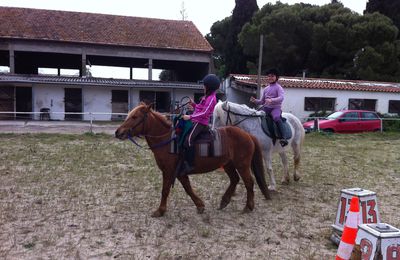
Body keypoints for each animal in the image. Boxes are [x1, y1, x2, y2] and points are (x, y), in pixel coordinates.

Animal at [114, 102, 270, 216]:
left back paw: (248, 207)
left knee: (249, 182)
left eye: (135, 117)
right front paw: (200, 205)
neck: (168, 140)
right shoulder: (180, 173)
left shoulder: (169, 171)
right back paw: (224, 201)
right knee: (235, 179)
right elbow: (188, 188)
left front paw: (160, 210)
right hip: (228, 164)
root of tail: (248, 135)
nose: (118, 132)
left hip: (242, 165)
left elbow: (165, 190)